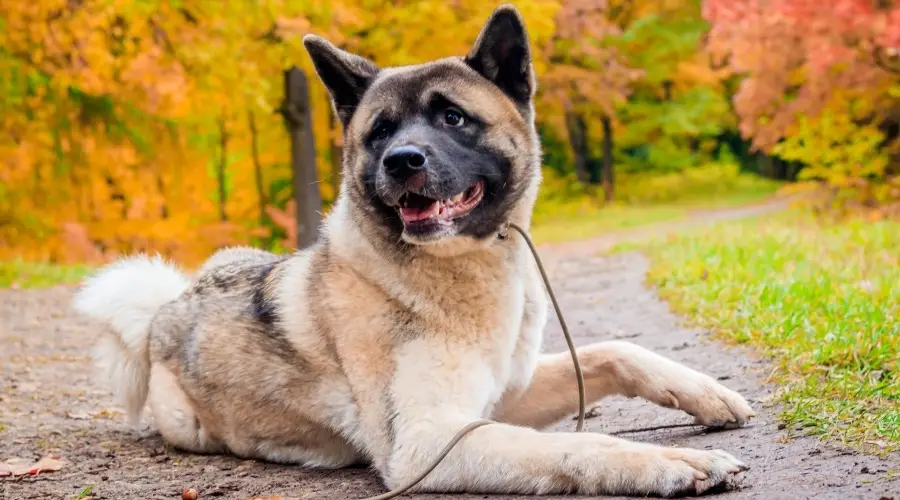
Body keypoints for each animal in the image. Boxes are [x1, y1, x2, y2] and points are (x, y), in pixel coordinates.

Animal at [74, 3, 756, 496]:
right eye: (379, 133)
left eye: (453, 118)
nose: (403, 161)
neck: (463, 273)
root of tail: (166, 308)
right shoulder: (431, 442)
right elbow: (578, 444)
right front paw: (665, 461)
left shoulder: (508, 396)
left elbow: (613, 351)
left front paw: (704, 393)